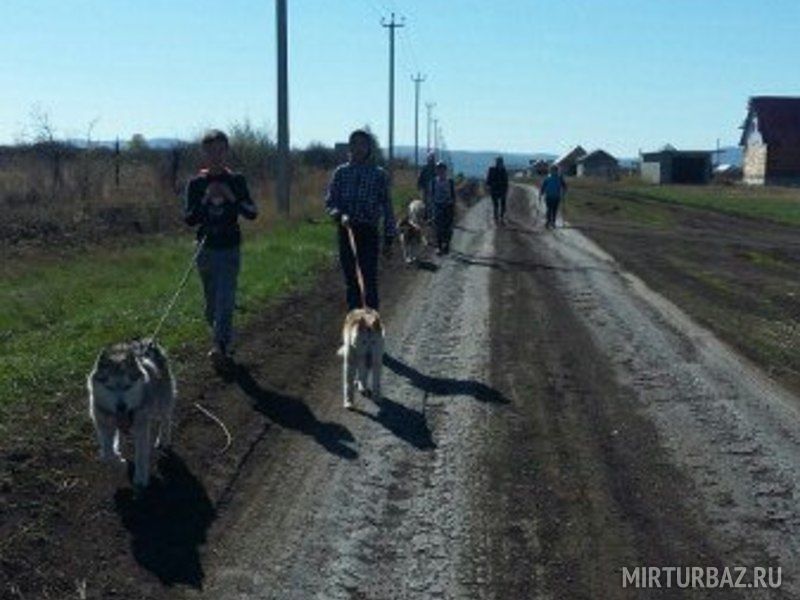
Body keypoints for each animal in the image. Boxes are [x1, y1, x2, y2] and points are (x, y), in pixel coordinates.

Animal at [87, 338, 175, 488]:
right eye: (110, 387)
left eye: (128, 386)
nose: (121, 407)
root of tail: (146, 345)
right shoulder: (103, 426)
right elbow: (106, 455)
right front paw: (119, 462)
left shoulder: (141, 429)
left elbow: (140, 455)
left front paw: (140, 478)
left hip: (161, 405)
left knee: (166, 419)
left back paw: (163, 439)